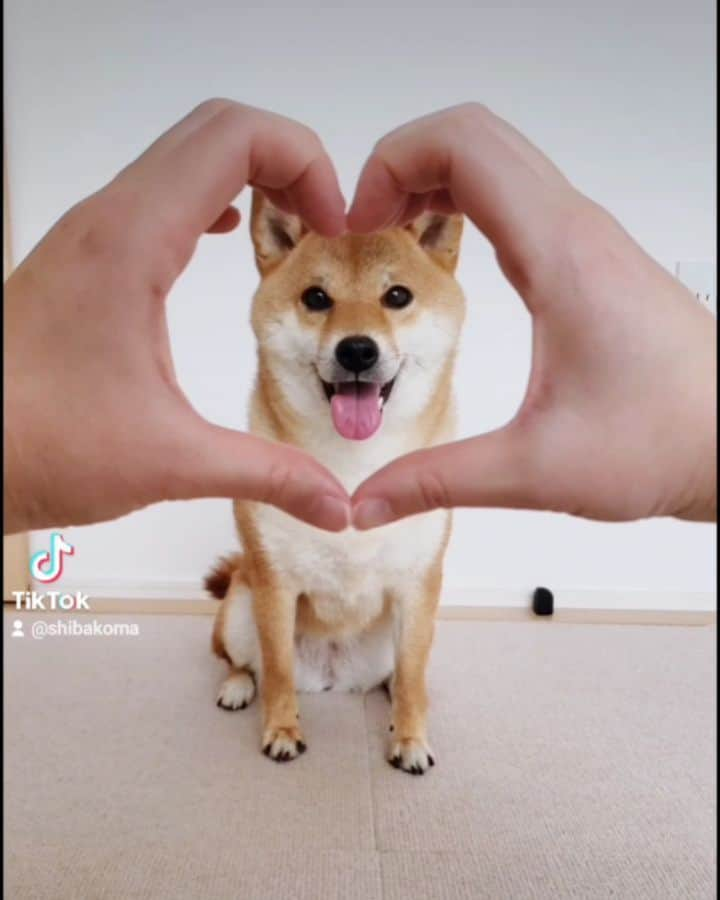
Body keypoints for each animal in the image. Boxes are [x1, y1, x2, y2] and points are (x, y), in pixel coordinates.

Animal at [205, 192, 464, 772]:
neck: (354, 468)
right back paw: (238, 687)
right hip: (239, 605)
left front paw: (410, 739)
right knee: (243, 662)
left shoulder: (417, 582)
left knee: (402, 675)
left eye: (397, 295)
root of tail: (335, 680)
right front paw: (282, 731)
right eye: (316, 298)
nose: (357, 350)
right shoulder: (275, 582)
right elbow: (277, 671)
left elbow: (412, 676)